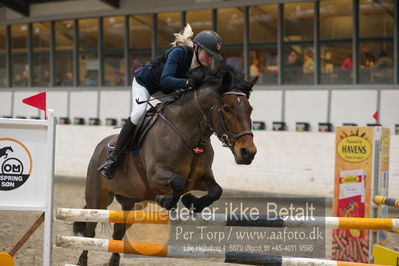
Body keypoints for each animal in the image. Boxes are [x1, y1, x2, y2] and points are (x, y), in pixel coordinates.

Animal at [73, 65, 258, 266]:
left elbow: (216, 190)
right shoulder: (156, 175)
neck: (190, 135)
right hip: (98, 199)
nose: (248, 153)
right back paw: (82, 260)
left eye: (250, 109)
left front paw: (192, 202)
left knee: (118, 231)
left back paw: (113, 260)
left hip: (132, 202)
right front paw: (166, 200)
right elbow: (177, 183)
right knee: (90, 230)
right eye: (226, 108)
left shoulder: (200, 178)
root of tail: (100, 147)